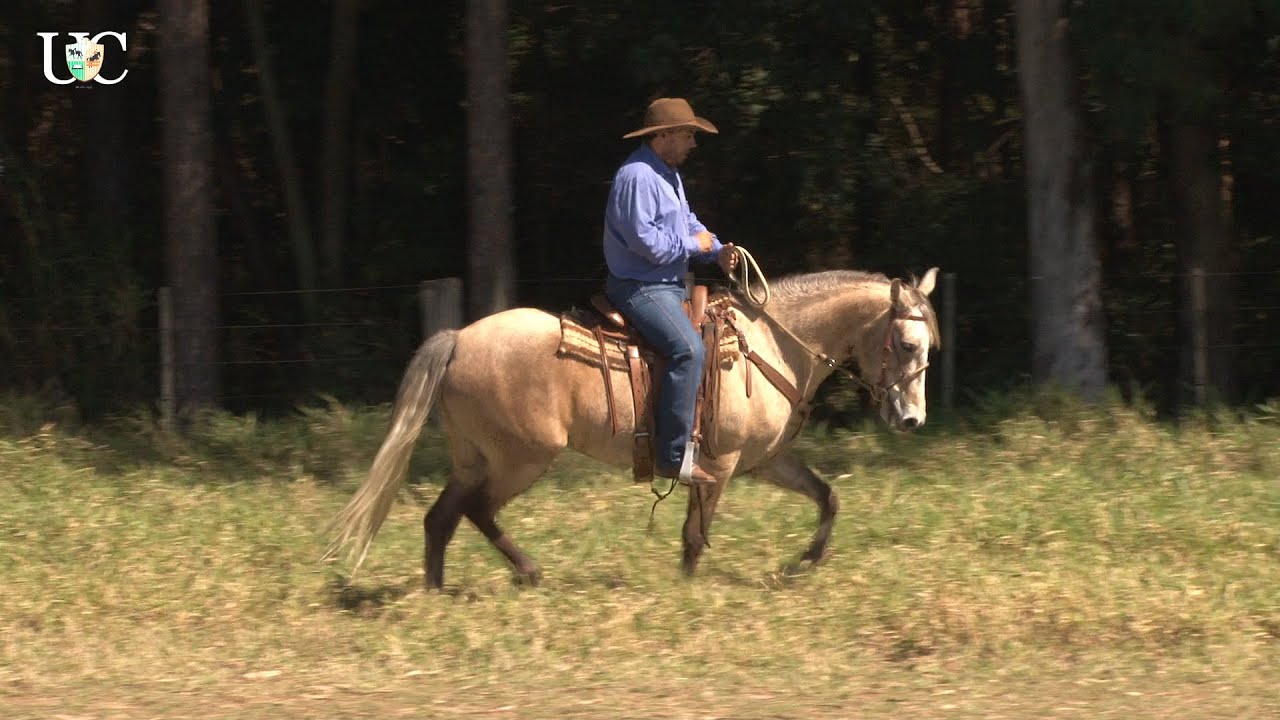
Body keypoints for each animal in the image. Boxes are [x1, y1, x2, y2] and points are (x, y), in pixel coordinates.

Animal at [325, 266, 941, 588]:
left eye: (928, 346)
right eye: (908, 344)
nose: (912, 418)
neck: (772, 346)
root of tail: (459, 338)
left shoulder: (764, 462)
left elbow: (827, 497)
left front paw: (803, 563)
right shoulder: (718, 468)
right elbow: (694, 536)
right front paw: (687, 589)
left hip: (476, 458)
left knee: (441, 518)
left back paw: (437, 589)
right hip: (522, 459)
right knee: (475, 511)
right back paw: (529, 572)